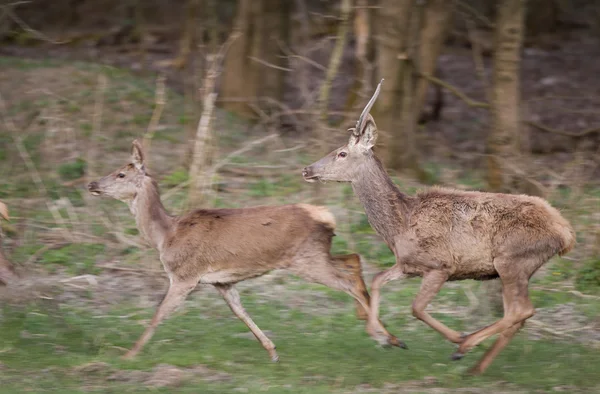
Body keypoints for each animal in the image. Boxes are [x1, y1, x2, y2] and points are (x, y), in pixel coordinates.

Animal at [85, 140, 404, 362]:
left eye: (121, 174)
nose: (91, 183)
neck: (166, 236)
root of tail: (325, 215)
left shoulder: (184, 275)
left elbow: (158, 314)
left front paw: (129, 354)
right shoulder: (222, 282)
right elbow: (240, 312)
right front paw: (272, 350)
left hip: (305, 259)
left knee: (348, 281)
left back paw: (385, 337)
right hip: (316, 254)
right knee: (353, 259)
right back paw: (383, 331)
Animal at [302, 81, 576, 376]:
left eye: (342, 153)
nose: (306, 169)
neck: (399, 224)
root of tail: (566, 233)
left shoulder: (440, 264)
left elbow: (416, 308)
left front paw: (452, 337)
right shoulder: (408, 264)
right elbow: (377, 279)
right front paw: (385, 337)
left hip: (512, 259)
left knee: (520, 311)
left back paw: (465, 346)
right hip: (517, 267)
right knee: (518, 314)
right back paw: (477, 367)